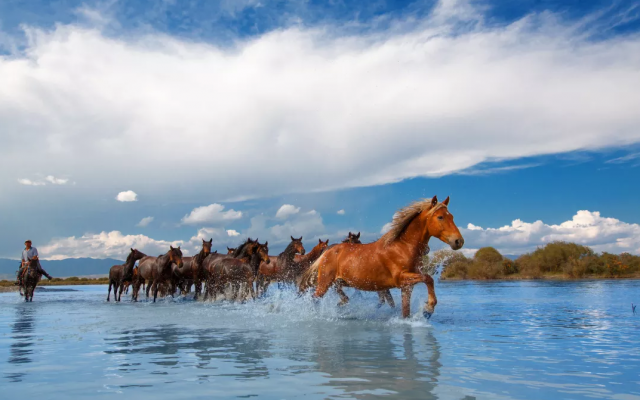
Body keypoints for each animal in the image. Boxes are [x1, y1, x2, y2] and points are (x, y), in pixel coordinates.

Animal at [298, 196, 462, 318]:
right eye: (440, 217)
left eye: (452, 216)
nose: (458, 241)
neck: (403, 247)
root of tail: (327, 252)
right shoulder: (402, 278)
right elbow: (428, 278)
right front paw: (428, 309)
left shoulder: (407, 286)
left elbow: (405, 311)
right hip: (324, 284)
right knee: (314, 299)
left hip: (338, 282)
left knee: (339, 297)